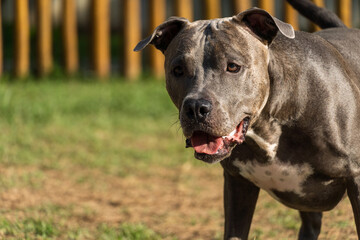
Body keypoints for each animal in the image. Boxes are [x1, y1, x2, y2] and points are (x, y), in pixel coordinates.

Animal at [134, 0, 360, 239]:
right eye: (177, 70)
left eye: (233, 66)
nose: (195, 108)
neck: (269, 123)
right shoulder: (238, 185)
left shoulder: (356, 179)